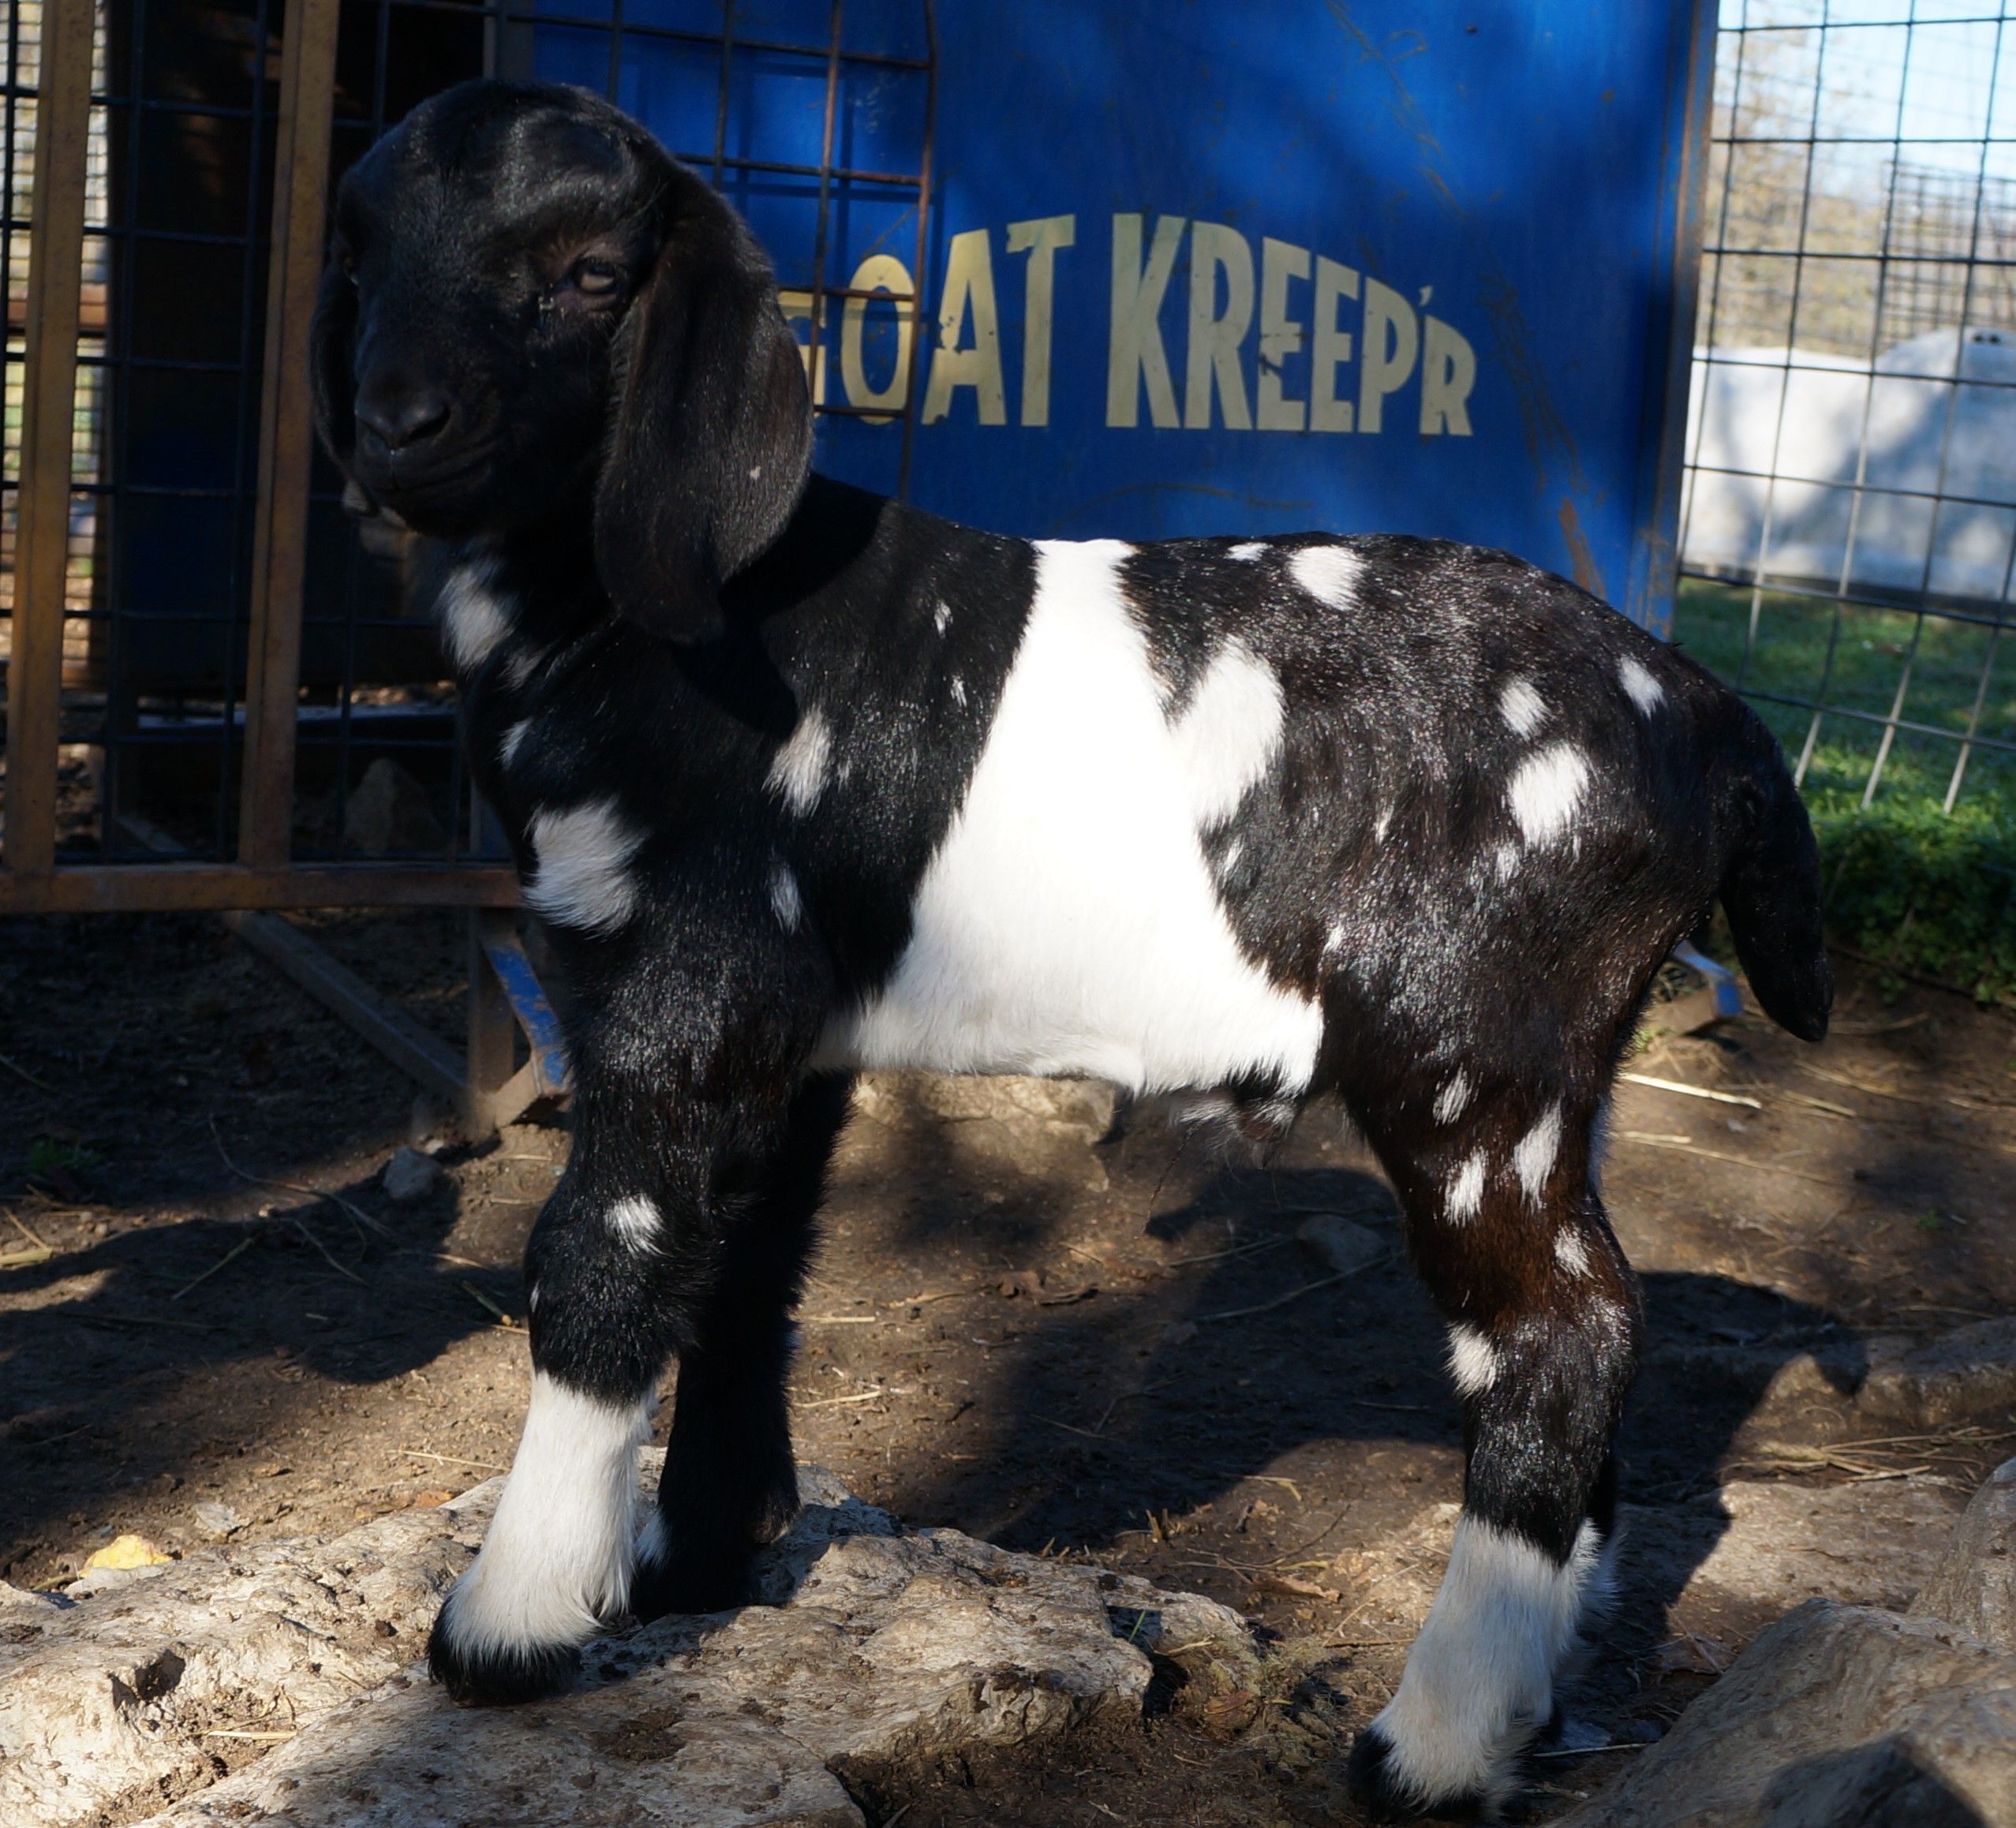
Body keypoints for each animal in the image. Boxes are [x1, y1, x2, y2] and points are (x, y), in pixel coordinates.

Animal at [311, 79, 1832, 1819]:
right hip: (1560, 1065)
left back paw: (1431, 1747)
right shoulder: (791, 1030)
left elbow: (604, 1263)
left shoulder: (685, 987)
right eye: (360, 247)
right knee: (1597, 1320)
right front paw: (698, 1563)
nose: (395, 422)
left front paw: (504, 1630)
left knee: (1556, 1335)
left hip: (1471, 1047)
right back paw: (1534, 1699)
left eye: (586, 274)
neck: (667, 625)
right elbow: (744, 1268)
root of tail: (1704, 710)